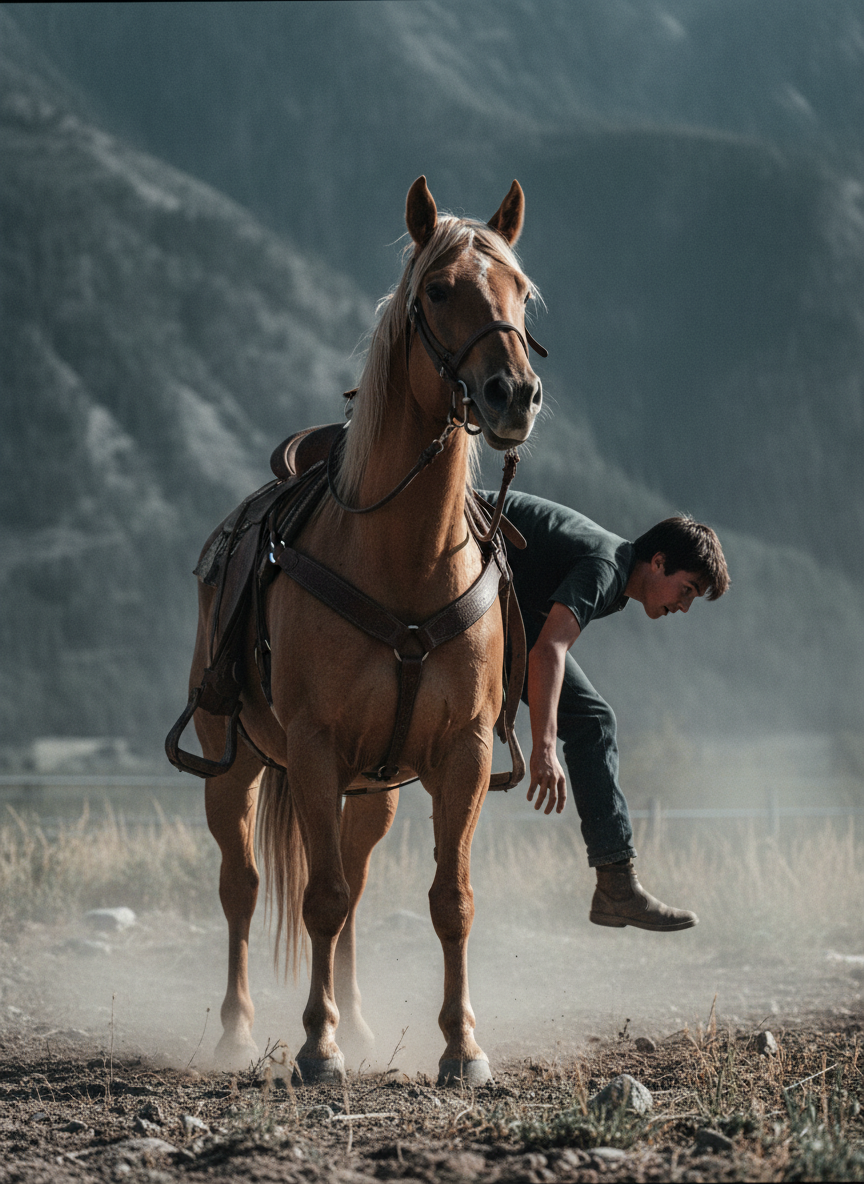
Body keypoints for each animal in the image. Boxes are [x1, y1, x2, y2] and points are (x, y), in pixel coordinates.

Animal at [189, 176, 543, 1086]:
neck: (405, 561)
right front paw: (316, 1049)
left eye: (522, 291)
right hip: (232, 762)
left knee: (351, 874)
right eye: (439, 290)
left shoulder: (463, 754)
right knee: (243, 885)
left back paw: (356, 1019)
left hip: (373, 790)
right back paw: (238, 1031)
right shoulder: (313, 749)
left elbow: (448, 901)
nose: (513, 394)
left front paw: (462, 1047)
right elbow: (319, 897)